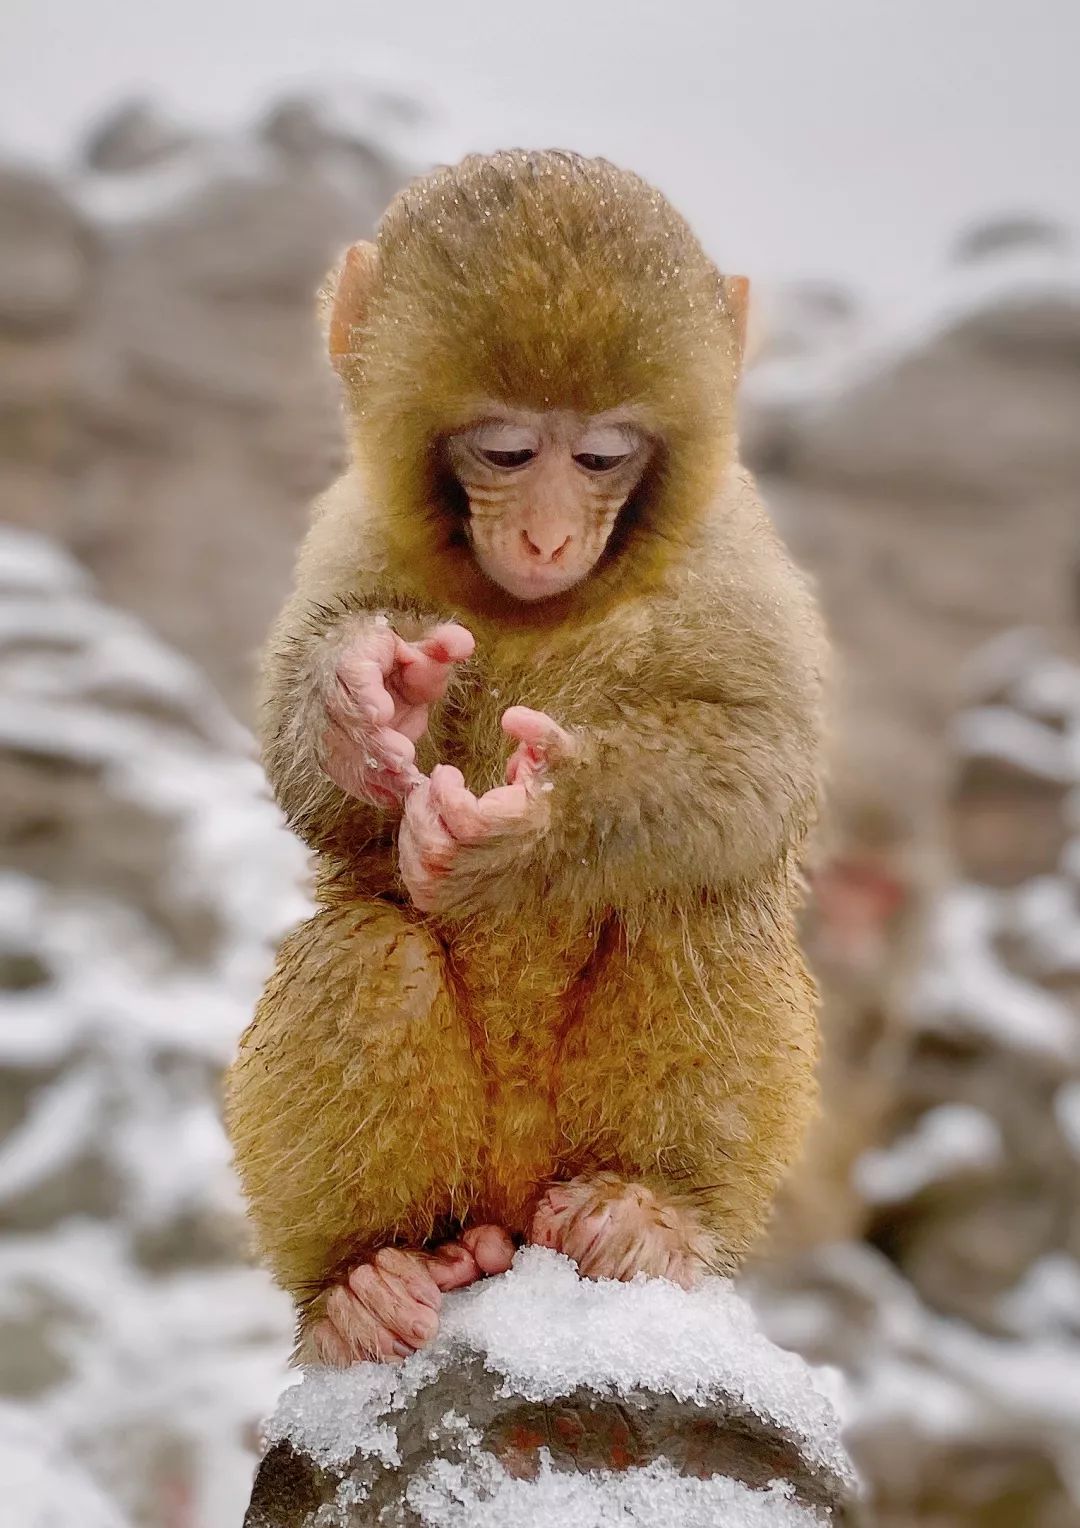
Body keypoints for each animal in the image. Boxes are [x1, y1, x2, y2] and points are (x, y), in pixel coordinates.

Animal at [227, 152, 831, 1362]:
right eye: (506, 448)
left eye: (600, 453)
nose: (549, 534)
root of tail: (512, 1215)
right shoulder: (357, 527)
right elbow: (317, 771)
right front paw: (365, 701)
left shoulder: (730, 551)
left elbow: (761, 749)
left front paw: (526, 831)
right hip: (470, 1181)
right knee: (375, 950)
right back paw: (369, 1279)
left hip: (570, 1153)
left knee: (689, 899)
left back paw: (649, 1212)